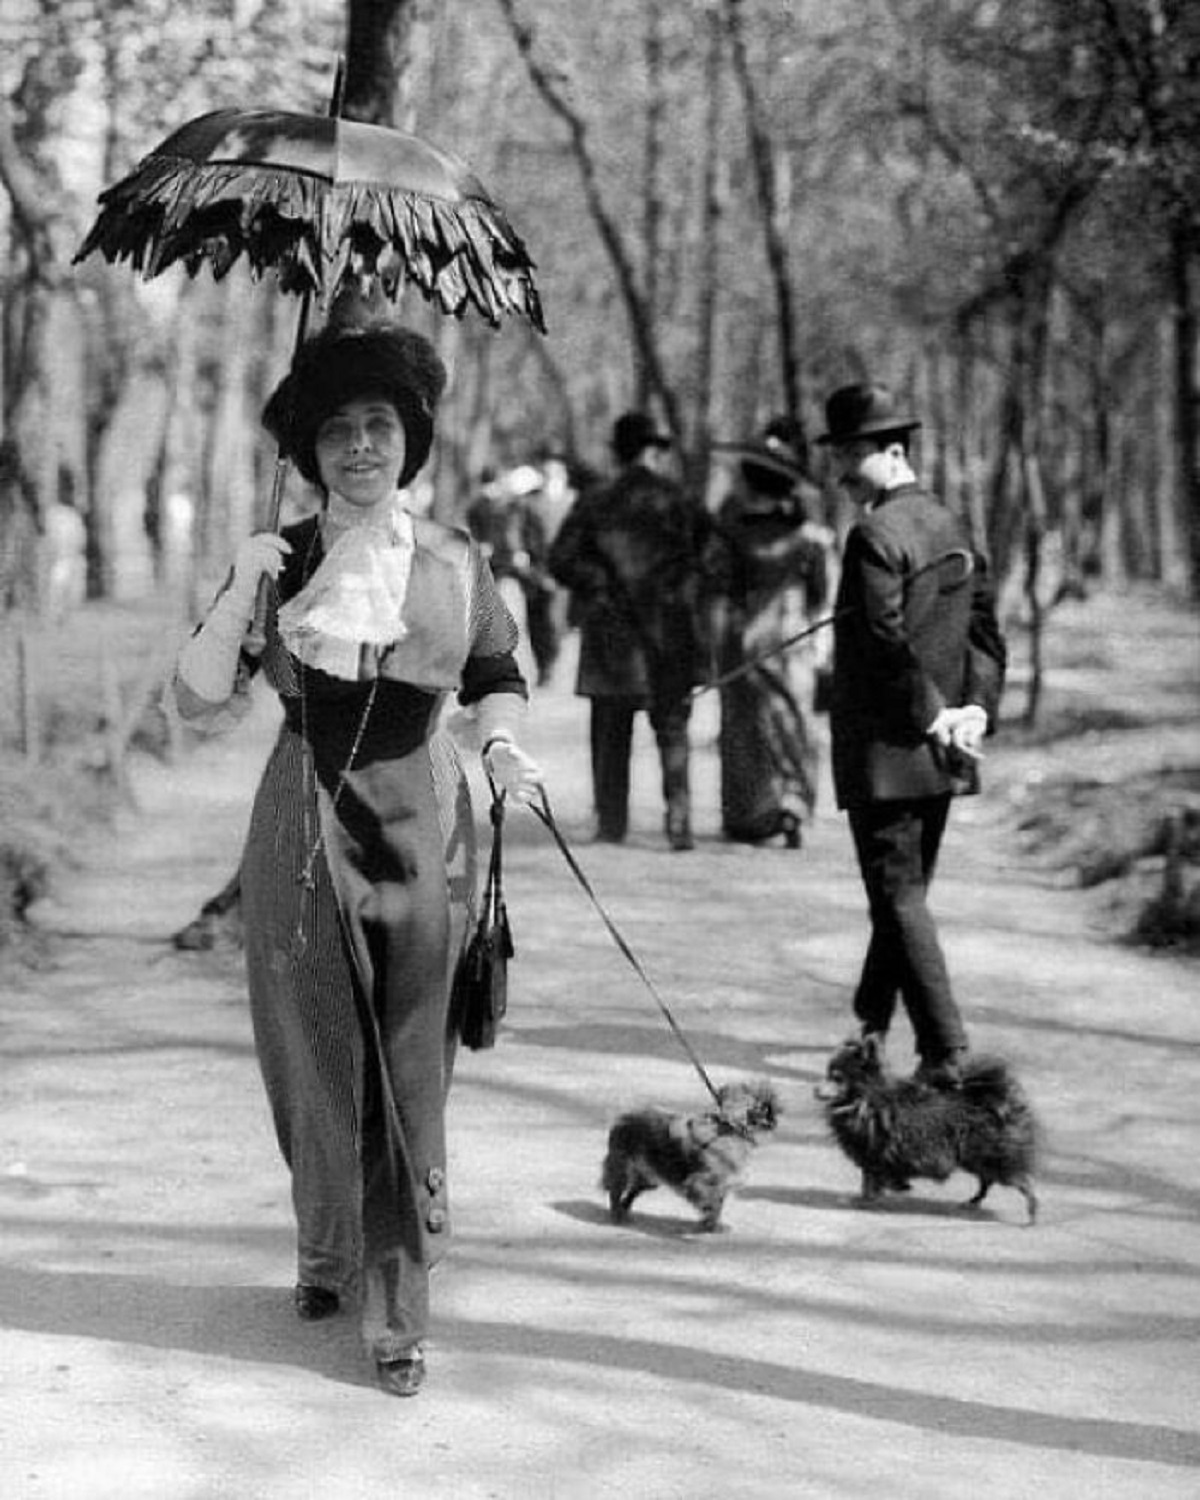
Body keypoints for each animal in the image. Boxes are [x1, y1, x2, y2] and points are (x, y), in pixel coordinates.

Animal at [600, 1080, 780, 1230]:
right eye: (764, 1106)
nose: (774, 1117)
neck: (728, 1130)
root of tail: (623, 1118)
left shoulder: (721, 1186)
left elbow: (718, 1204)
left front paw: (711, 1224)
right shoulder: (699, 1182)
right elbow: (711, 1202)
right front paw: (709, 1221)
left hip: (649, 1179)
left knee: (631, 1193)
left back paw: (624, 1210)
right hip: (623, 1168)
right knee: (615, 1192)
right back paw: (616, 1215)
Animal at [816, 1038, 1038, 1224]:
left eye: (837, 1078)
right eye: (828, 1075)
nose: (815, 1089)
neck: (865, 1101)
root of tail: (1000, 1101)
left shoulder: (875, 1154)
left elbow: (872, 1181)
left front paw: (867, 1200)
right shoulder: (873, 1156)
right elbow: (872, 1180)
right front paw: (887, 1191)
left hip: (990, 1158)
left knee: (1020, 1182)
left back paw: (1032, 1211)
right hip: (978, 1160)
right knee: (987, 1181)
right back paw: (973, 1201)